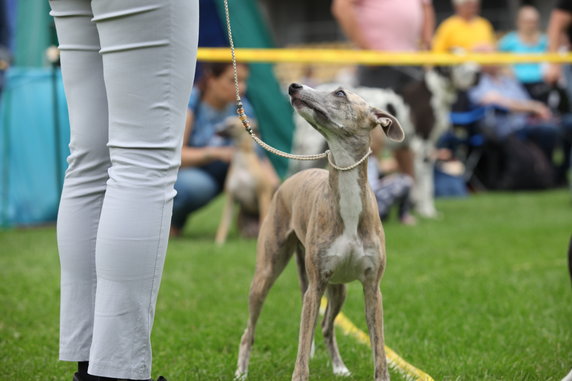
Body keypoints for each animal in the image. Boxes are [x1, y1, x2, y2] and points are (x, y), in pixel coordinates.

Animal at [233, 84, 402, 380]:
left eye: (340, 93)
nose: (294, 87)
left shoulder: (372, 288)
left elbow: (379, 350)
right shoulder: (314, 288)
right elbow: (302, 350)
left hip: (338, 289)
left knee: (326, 326)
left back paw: (339, 366)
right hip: (267, 273)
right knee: (250, 330)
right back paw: (241, 371)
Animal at [288, 62, 480, 217]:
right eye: (458, 62)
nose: (478, 75)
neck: (435, 92)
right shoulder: (422, 147)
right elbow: (426, 185)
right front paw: (427, 211)